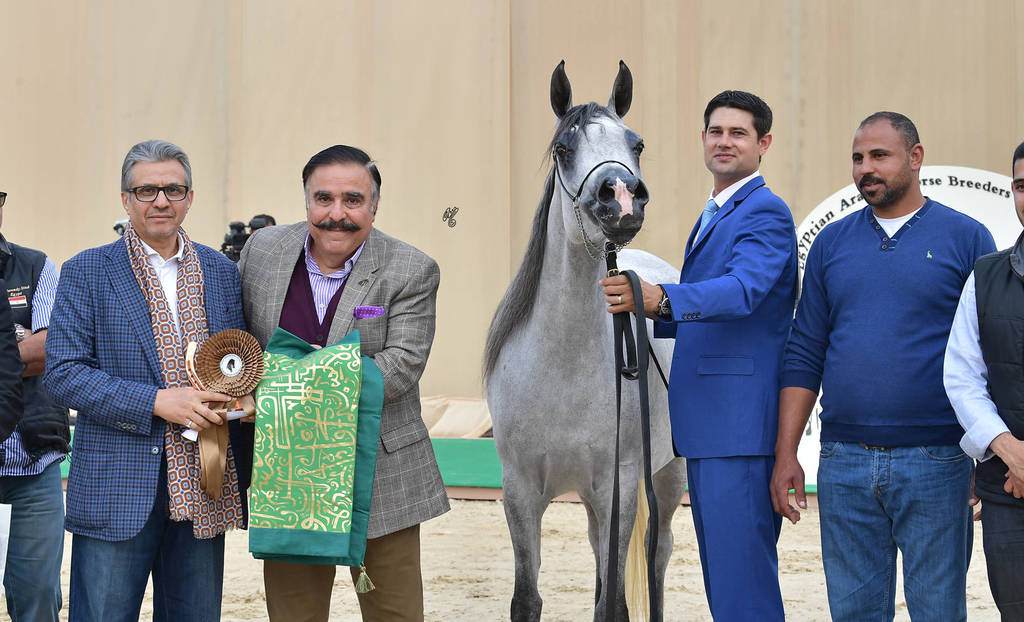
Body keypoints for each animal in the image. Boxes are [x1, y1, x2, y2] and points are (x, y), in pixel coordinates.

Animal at [484, 60, 687, 622]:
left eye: (636, 143)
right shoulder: (520, 492)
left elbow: (613, 602)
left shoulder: (617, 487)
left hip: (667, 476)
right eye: (563, 148)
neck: (561, 366)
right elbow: (527, 598)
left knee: (657, 556)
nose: (622, 198)